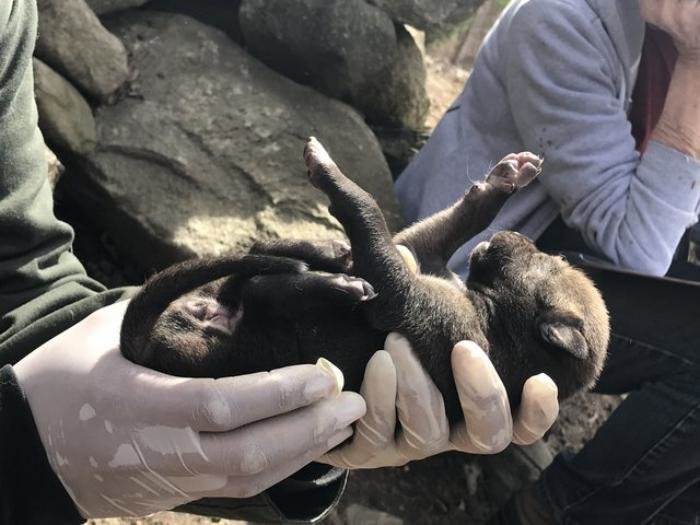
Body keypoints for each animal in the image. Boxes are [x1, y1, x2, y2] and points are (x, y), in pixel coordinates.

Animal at [120, 138, 608, 422]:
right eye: (556, 256)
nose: (516, 235)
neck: (490, 314)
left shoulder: (413, 301)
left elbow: (367, 207)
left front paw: (330, 172)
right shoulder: (417, 247)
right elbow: (460, 217)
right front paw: (505, 179)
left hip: (265, 343)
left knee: (266, 291)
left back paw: (333, 283)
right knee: (262, 268)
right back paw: (326, 256)